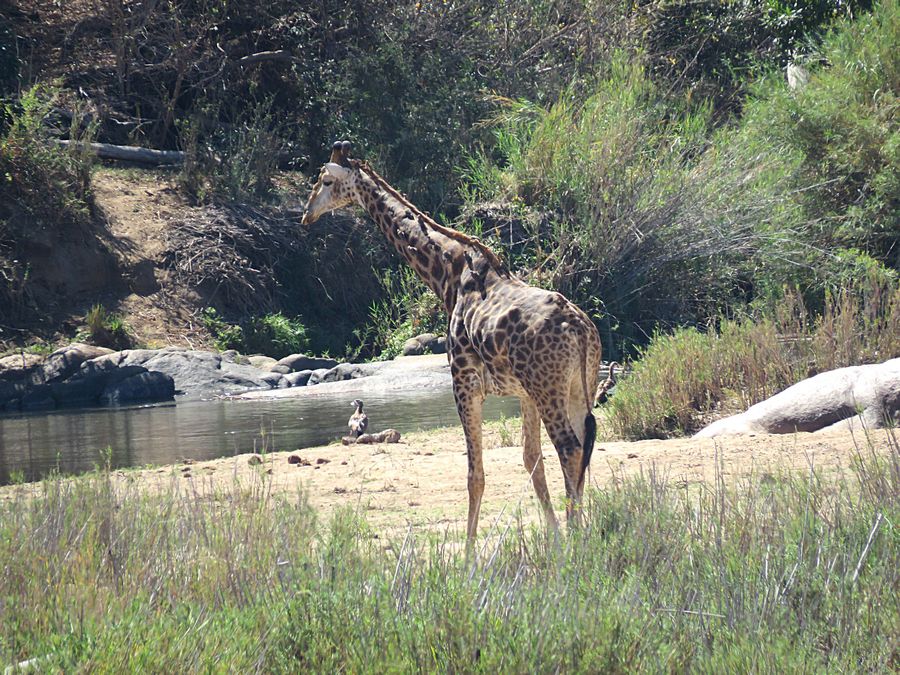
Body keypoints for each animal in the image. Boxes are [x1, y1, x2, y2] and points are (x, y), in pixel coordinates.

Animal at [302, 141, 602, 541]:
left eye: (325, 180)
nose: (307, 215)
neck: (447, 275)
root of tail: (580, 329)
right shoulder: (523, 394)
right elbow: (530, 460)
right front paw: (553, 536)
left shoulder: (464, 382)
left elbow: (475, 474)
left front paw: (471, 552)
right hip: (576, 385)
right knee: (584, 445)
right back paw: (580, 531)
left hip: (548, 386)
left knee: (569, 448)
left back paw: (577, 537)